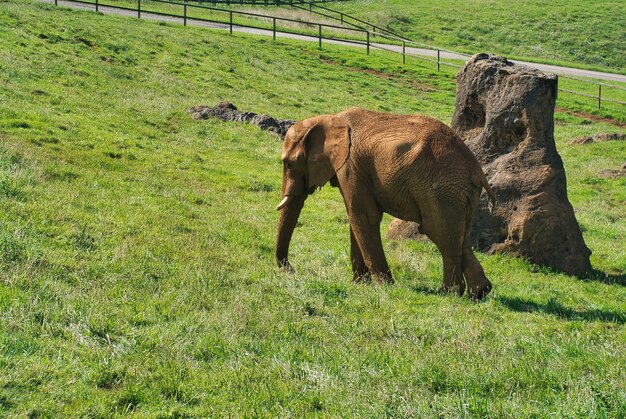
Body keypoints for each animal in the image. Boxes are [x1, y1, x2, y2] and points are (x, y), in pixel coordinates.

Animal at [272, 106, 492, 300]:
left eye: (287, 163)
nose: (291, 270)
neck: (331, 118)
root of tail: (476, 169)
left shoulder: (350, 166)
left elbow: (362, 216)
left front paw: (383, 286)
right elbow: (357, 217)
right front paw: (360, 284)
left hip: (442, 189)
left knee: (439, 233)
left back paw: (449, 293)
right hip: (460, 193)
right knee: (460, 237)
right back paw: (480, 292)